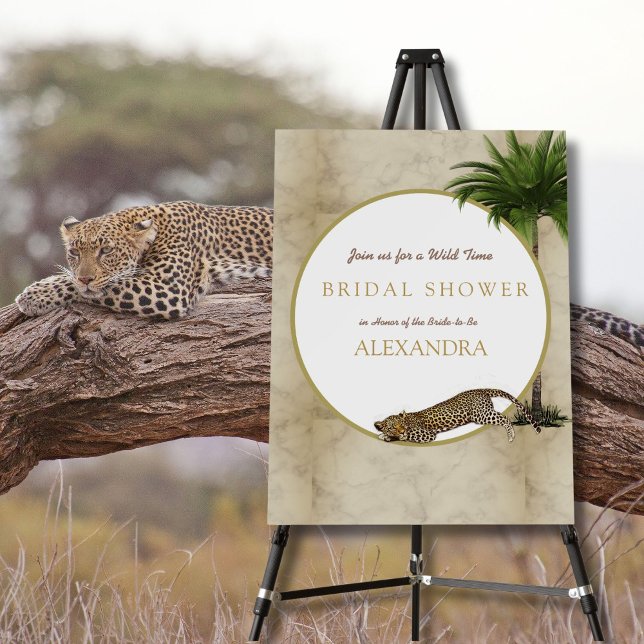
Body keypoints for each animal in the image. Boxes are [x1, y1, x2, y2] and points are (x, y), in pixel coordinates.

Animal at [15, 201, 272, 320]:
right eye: (75, 253)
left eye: (106, 250)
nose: (85, 278)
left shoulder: (168, 289)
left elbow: (92, 287)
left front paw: (34, 295)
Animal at [374, 388, 541, 444]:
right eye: (392, 426)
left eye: (401, 425)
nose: (401, 430)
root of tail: (480, 390)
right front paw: (385, 435)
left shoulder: (427, 434)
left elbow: (408, 436)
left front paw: (387, 436)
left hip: (481, 415)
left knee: (504, 418)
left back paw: (511, 436)